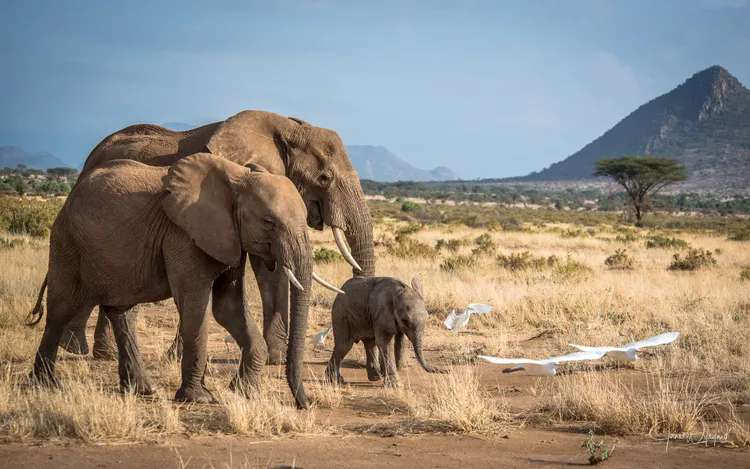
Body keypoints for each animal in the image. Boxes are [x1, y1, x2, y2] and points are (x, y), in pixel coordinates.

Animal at [29, 153, 330, 408]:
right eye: (268, 222)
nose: (305, 404)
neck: (238, 177)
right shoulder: (184, 234)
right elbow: (195, 303)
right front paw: (199, 398)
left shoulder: (229, 237)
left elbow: (228, 307)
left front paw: (242, 393)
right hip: (67, 243)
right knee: (61, 308)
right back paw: (46, 384)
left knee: (120, 311)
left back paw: (142, 390)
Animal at [33, 110, 375, 365]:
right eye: (325, 178)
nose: (371, 367)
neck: (285, 127)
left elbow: (271, 270)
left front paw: (275, 359)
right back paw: (88, 351)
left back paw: (89, 351)